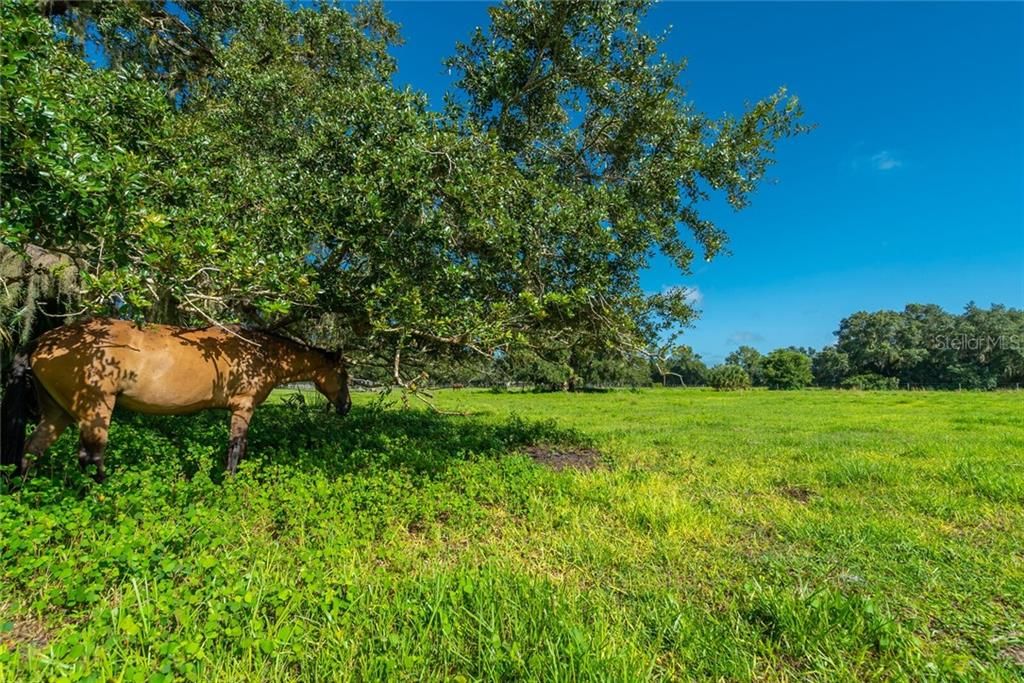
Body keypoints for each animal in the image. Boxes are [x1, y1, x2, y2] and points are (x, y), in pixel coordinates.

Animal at [2, 319, 350, 483]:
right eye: (343, 373)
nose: (345, 406)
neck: (258, 350)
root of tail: (42, 342)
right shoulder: (243, 406)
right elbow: (236, 449)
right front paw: (230, 483)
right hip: (95, 410)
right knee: (91, 457)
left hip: (57, 413)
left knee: (30, 452)